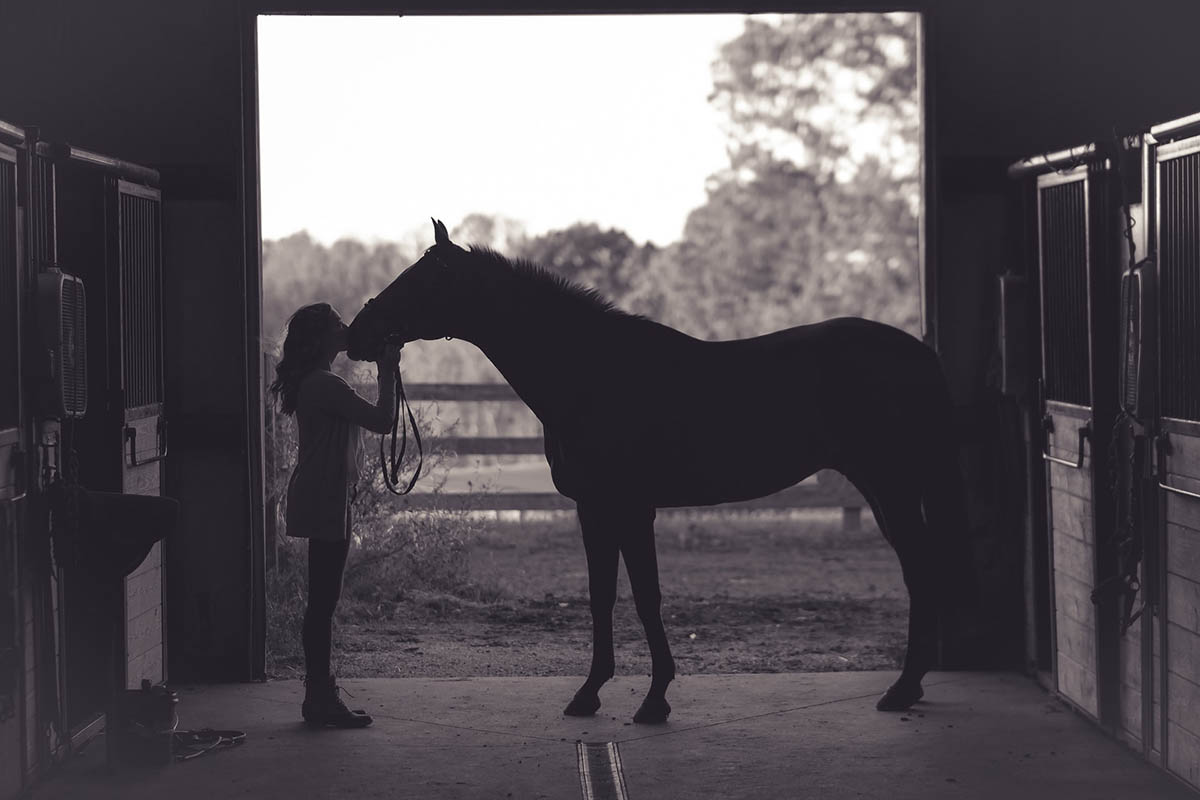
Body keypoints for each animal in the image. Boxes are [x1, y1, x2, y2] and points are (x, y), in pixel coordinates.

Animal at [348, 219, 974, 724]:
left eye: (421, 279)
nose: (357, 333)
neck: (591, 372)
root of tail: (919, 353)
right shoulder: (593, 509)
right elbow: (602, 596)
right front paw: (590, 694)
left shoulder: (631, 508)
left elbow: (646, 597)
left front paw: (654, 700)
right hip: (885, 489)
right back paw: (909, 687)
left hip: (892, 486)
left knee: (922, 571)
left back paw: (902, 690)